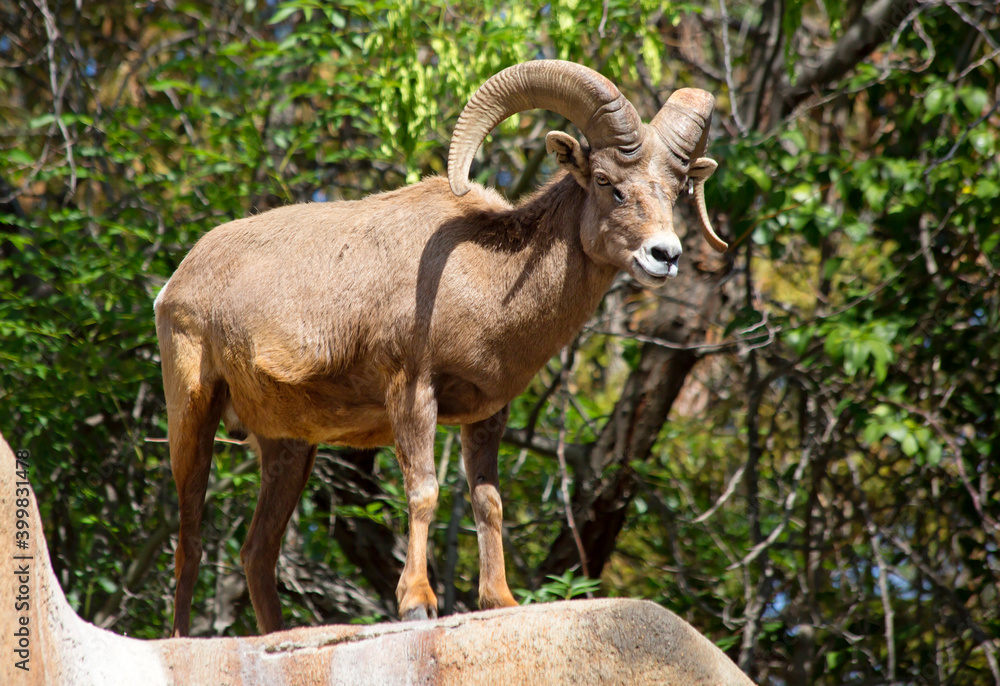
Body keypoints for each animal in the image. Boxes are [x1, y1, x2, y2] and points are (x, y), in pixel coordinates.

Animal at [154, 59, 727, 637]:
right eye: (608, 183)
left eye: (676, 191)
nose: (665, 255)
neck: (480, 281)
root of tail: (176, 282)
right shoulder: (412, 393)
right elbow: (424, 492)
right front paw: (416, 603)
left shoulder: (487, 414)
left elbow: (488, 502)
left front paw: (500, 601)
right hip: (194, 415)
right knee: (189, 544)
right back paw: (180, 637)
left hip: (288, 448)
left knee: (257, 554)